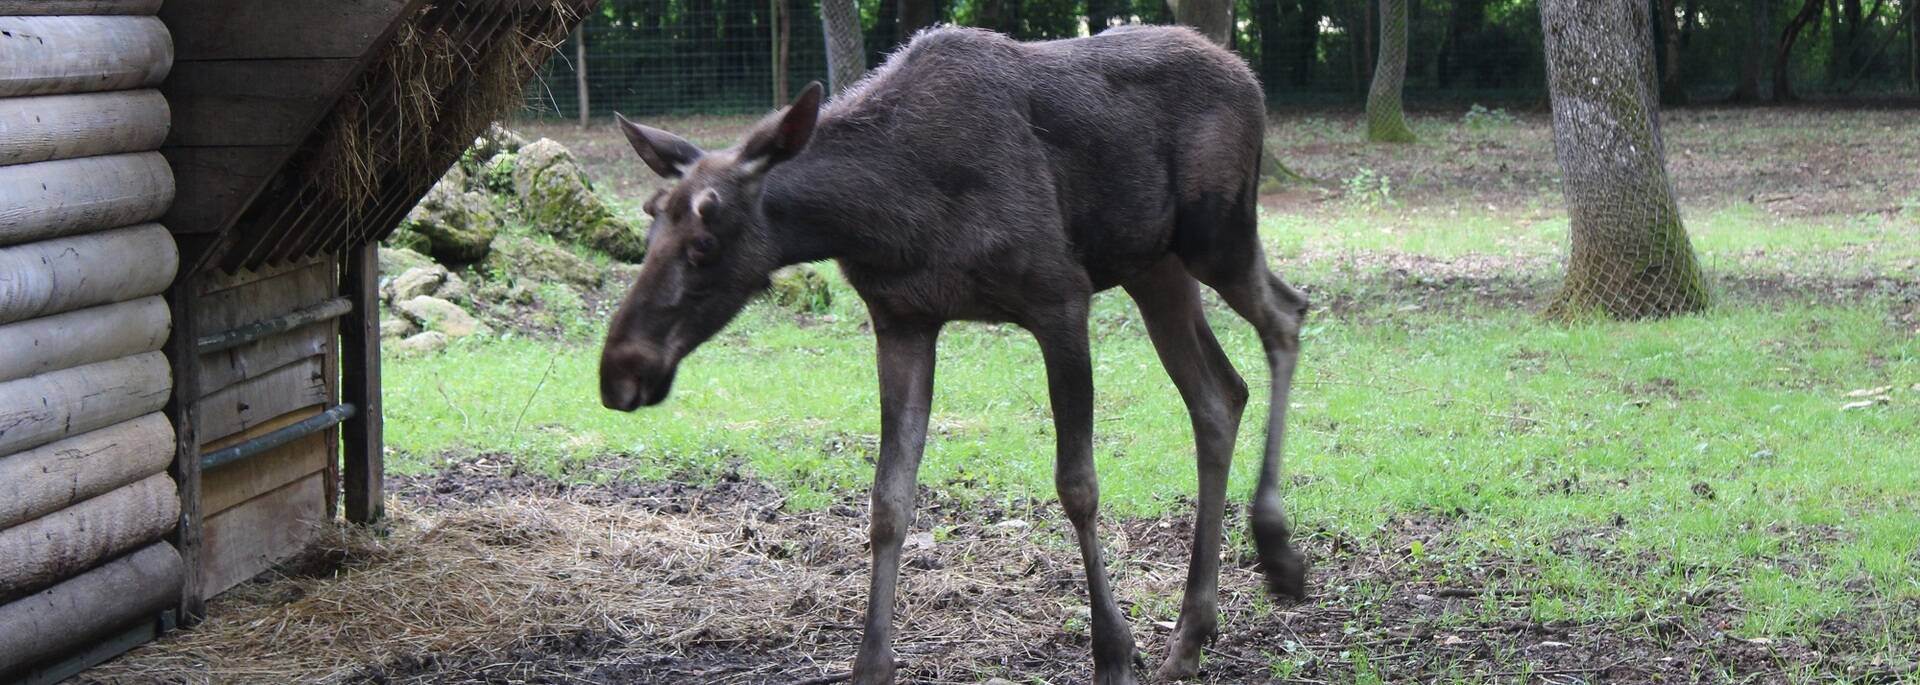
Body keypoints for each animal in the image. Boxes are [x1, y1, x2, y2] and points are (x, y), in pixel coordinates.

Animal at [602, 23, 1305, 679]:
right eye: (648, 223)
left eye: (703, 244)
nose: (619, 372)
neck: (887, 217)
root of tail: (1250, 80)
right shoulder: (903, 321)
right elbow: (889, 499)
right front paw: (871, 664)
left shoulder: (1060, 298)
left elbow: (1077, 484)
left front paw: (1112, 652)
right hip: (1155, 266)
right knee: (1219, 393)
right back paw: (1189, 635)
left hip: (1218, 236)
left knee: (1288, 317)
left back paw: (1276, 555)